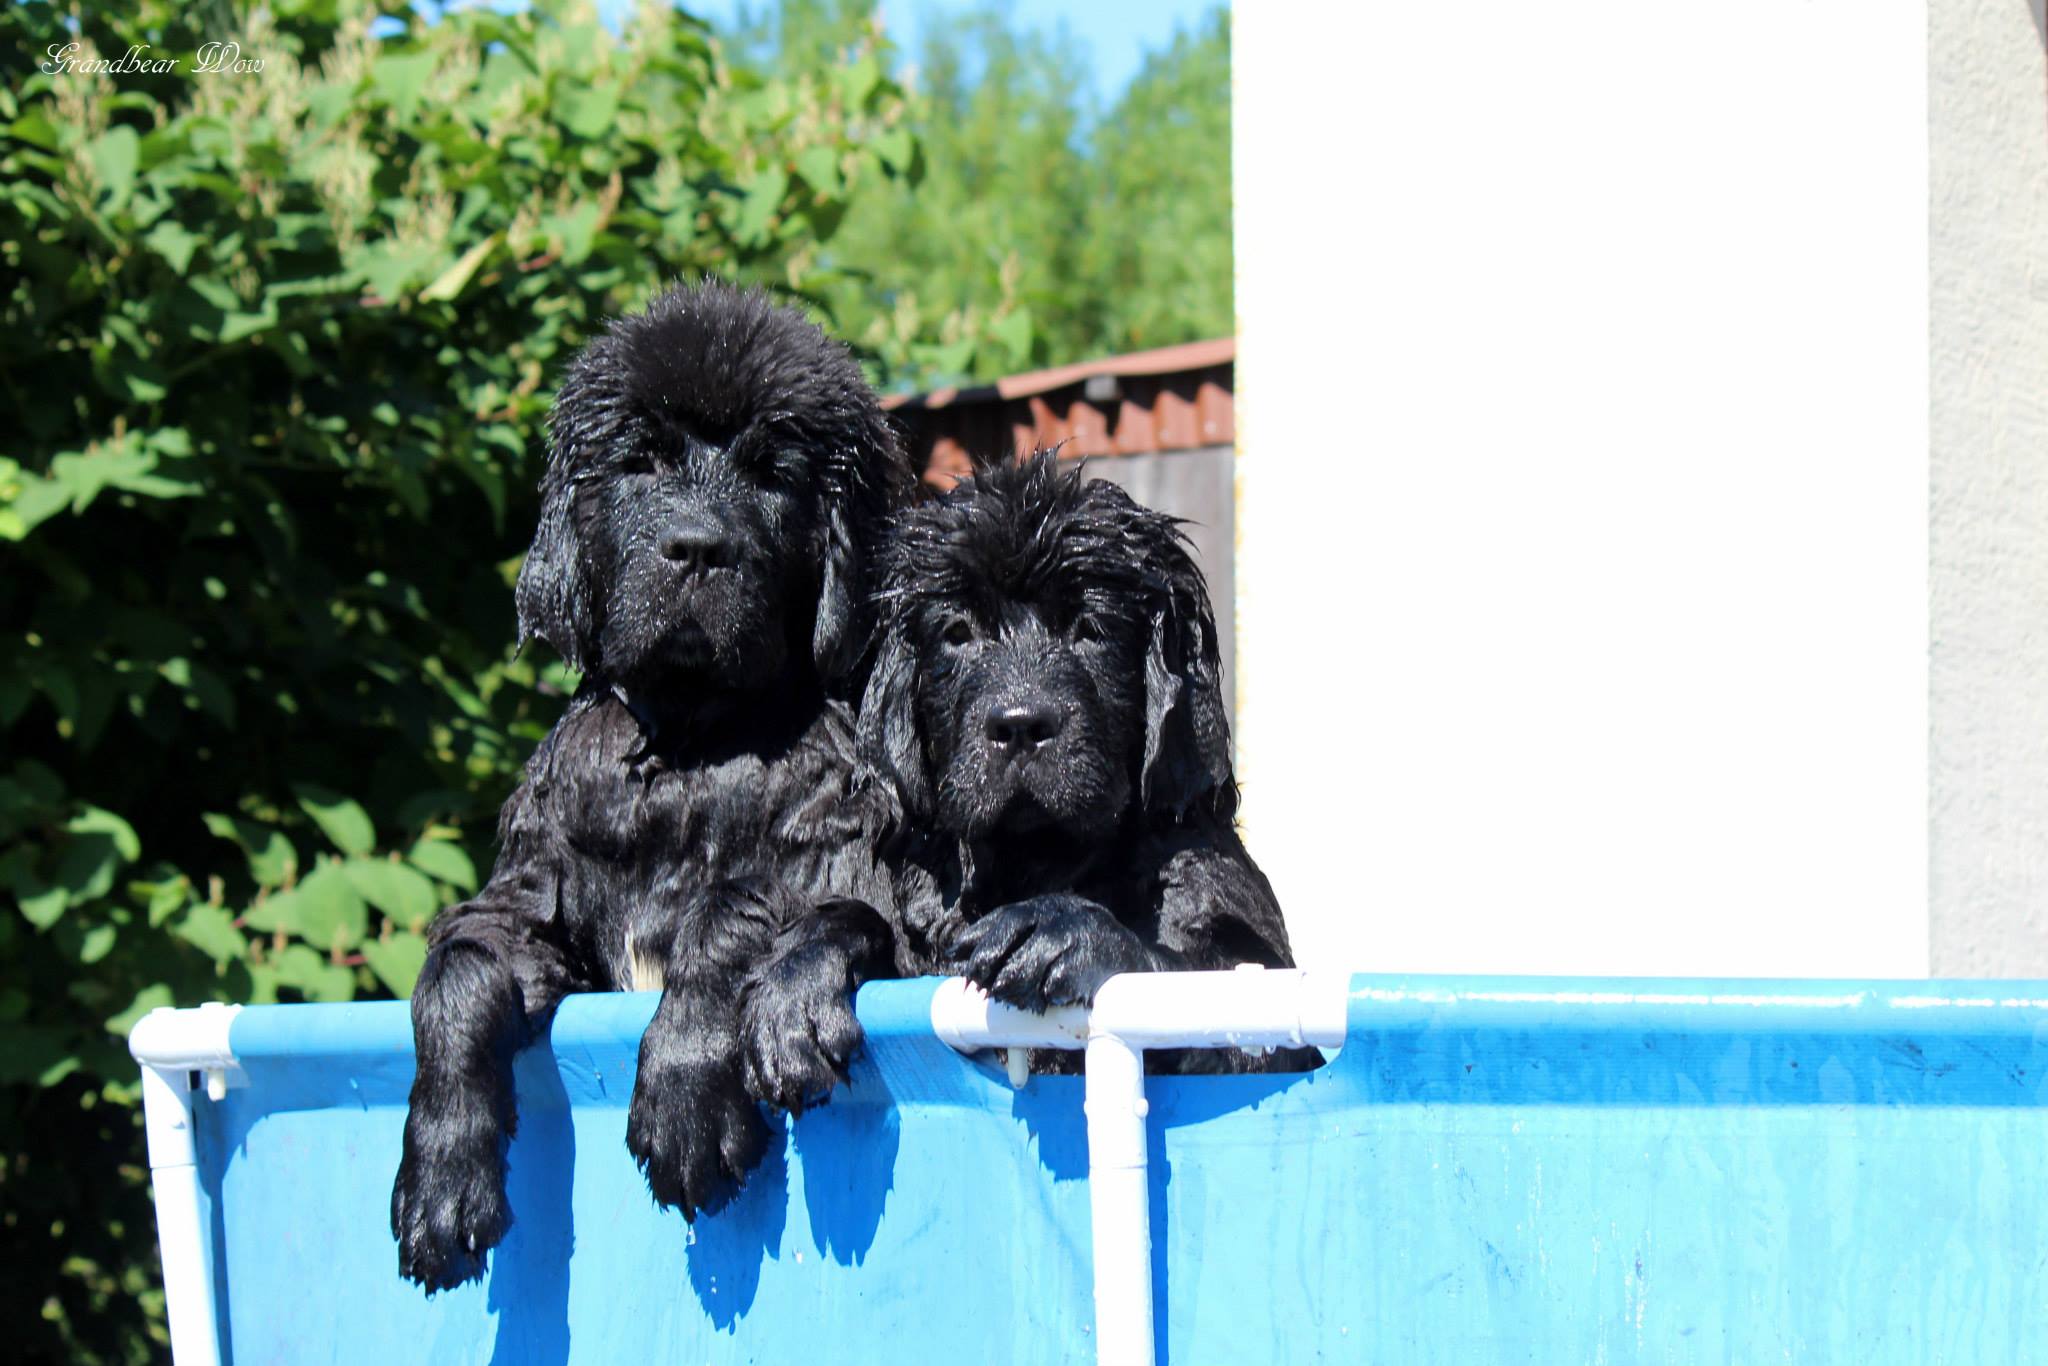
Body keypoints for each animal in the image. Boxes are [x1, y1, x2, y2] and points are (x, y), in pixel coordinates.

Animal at [390, 281, 912, 1292]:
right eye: (639, 464)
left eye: (773, 474)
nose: (696, 548)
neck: (687, 752)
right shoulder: (528, 896)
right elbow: (459, 970)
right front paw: (439, 1180)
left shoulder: (844, 854)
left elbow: (730, 909)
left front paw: (683, 1100)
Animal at [738, 452, 1315, 1112]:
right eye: (958, 633)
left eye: (1090, 629)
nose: (1019, 725)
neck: (1033, 863)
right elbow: (858, 913)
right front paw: (793, 986)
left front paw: (1069, 932)